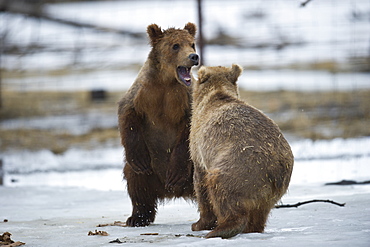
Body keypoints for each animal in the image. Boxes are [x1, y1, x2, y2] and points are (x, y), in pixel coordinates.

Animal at [118, 22, 199, 227]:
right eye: (175, 45)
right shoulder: (142, 93)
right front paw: (140, 160)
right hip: (150, 172)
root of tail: (172, 193)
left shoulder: (186, 98)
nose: (194, 57)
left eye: (192, 44)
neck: (166, 81)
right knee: (137, 183)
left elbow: (188, 132)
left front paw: (175, 174)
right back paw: (137, 217)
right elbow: (127, 115)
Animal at [189, 64, 294, 238]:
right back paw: (251, 229)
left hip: (240, 168)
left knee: (222, 191)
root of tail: (275, 170)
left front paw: (199, 224)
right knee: (260, 213)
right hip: (270, 191)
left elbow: (200, 183)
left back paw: (221, 229)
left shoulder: (198, 146)